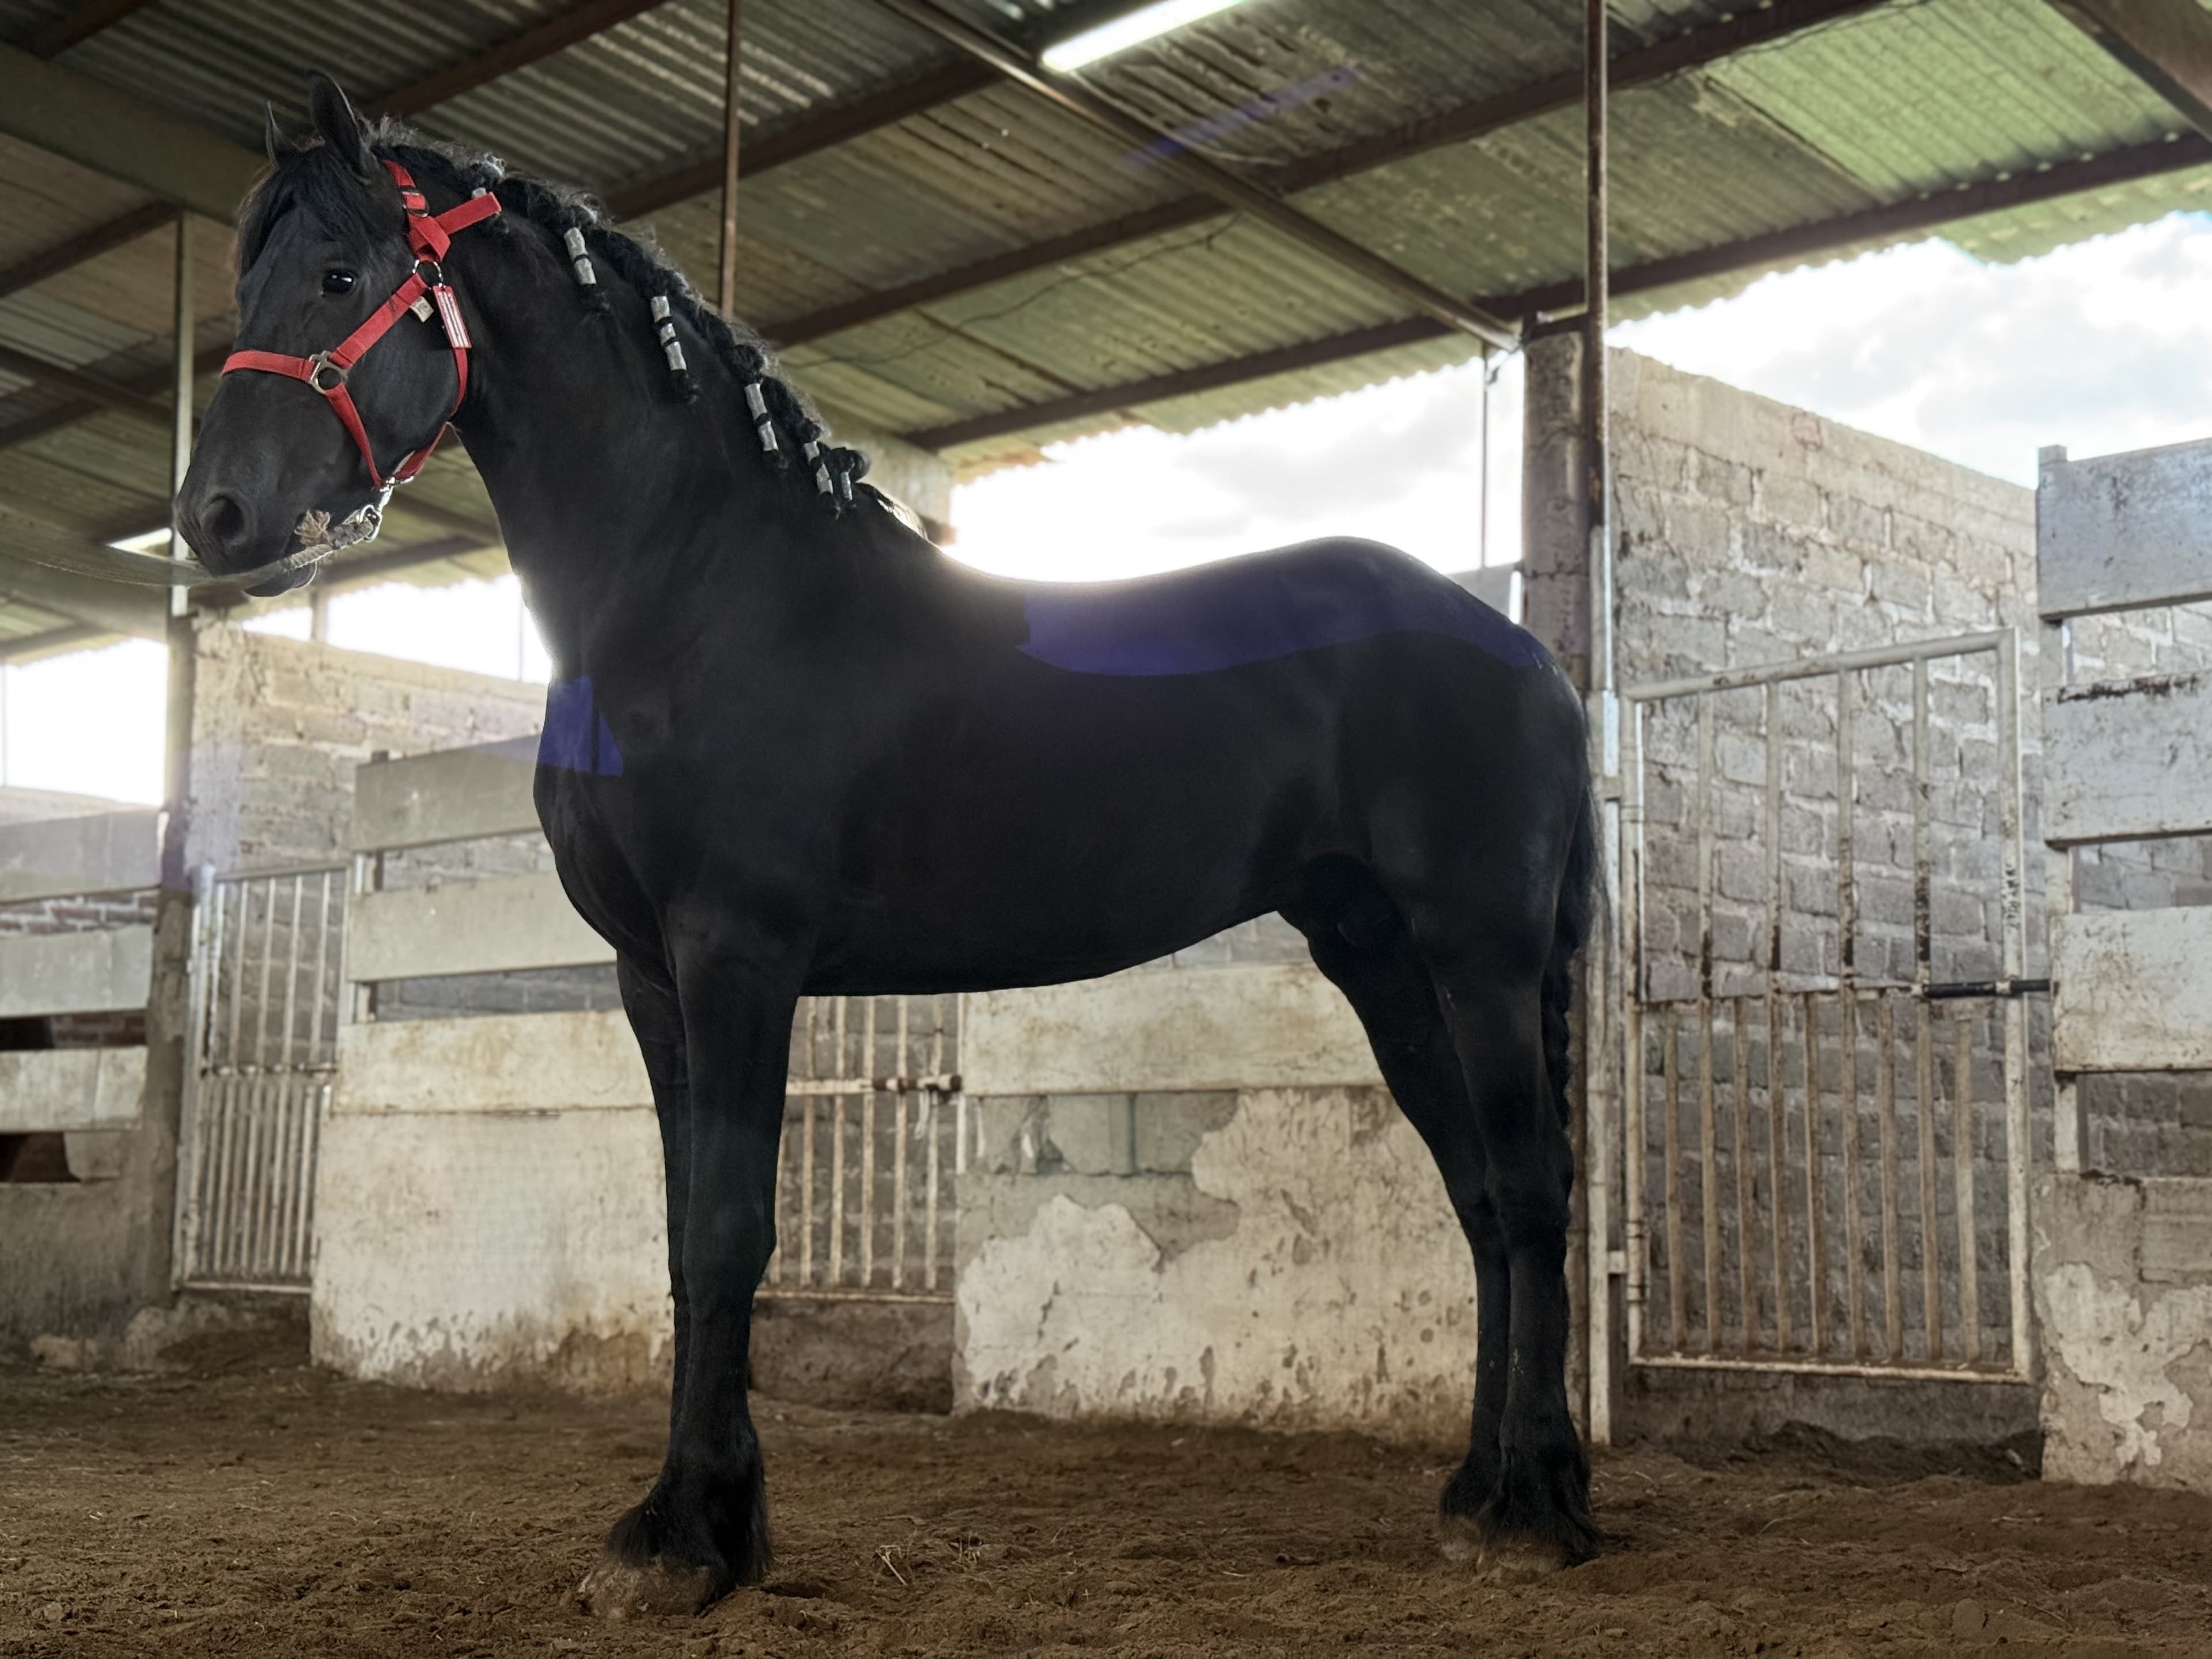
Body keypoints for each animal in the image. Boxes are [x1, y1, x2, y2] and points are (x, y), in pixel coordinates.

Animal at [177, 74, 1600, 1616]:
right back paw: (1476, 1491)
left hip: (1477, 955)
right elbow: (682, 1233)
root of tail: (1528, 651)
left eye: (339, 275)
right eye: (247, 278)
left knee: (1528, 1192)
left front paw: (692, 1539)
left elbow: (730, 1231)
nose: (215, 519)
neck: (695, 594)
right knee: (1478, 1196)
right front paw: (695, 1522)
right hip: (1380, 957)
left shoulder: (738, 957)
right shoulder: (650, 979)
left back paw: (1534, 1511)